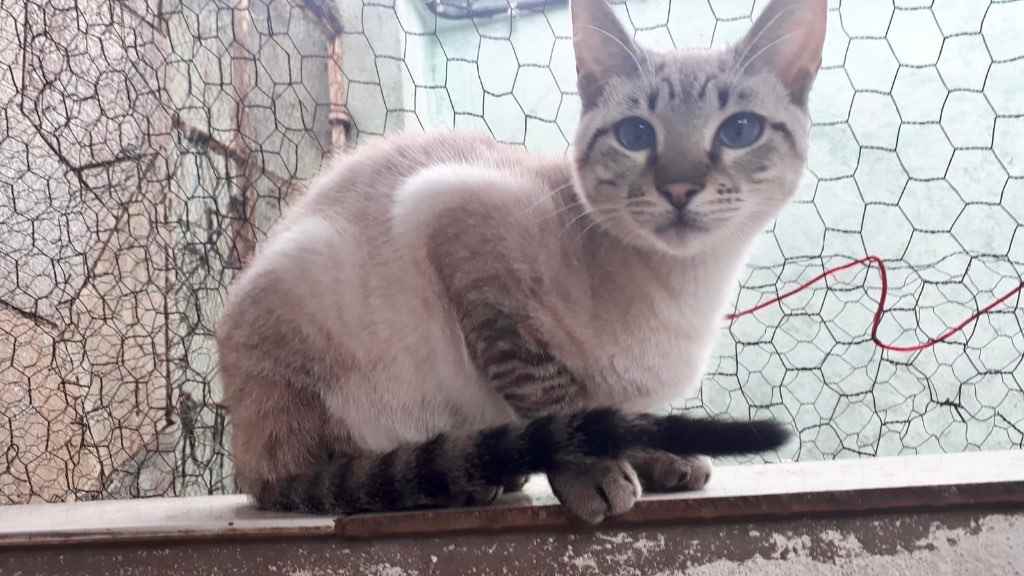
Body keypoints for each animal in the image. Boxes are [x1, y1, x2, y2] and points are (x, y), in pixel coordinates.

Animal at [215, 0, 826, 524]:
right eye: (635, 135)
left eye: (740, 130)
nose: (679, 189)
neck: (688, 288)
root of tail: (249, 463)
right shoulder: (452, 218)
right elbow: (551, 396)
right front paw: (593, 472)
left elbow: (619, 421)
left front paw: (661, 460)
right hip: (315, 282)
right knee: (350, 474)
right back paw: (464, 480)